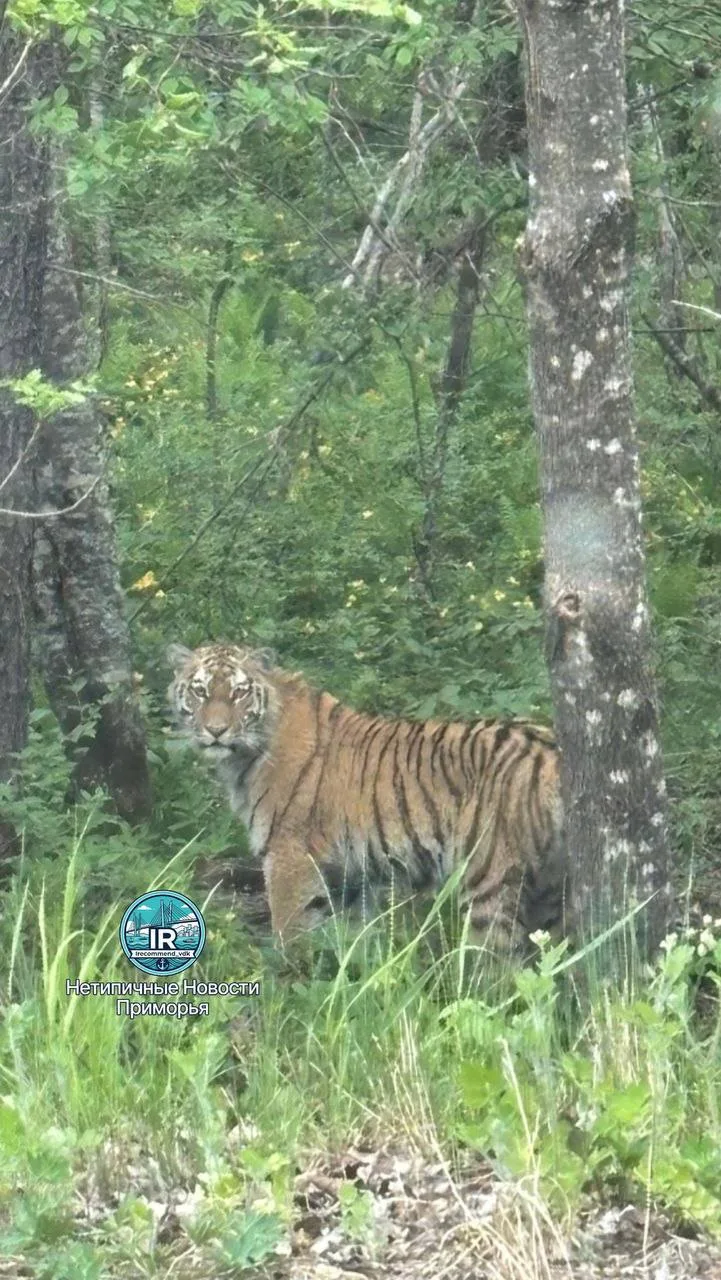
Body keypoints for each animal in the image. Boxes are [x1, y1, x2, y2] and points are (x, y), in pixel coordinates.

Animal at [168, 641, 567, 950]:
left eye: (239, 692)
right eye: (200, 691)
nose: (215, 730)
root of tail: (547, 746)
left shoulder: (288, 857)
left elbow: (288, 935)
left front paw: (286, 989)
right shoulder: (350, 873)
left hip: (488, 879)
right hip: (549, 890)